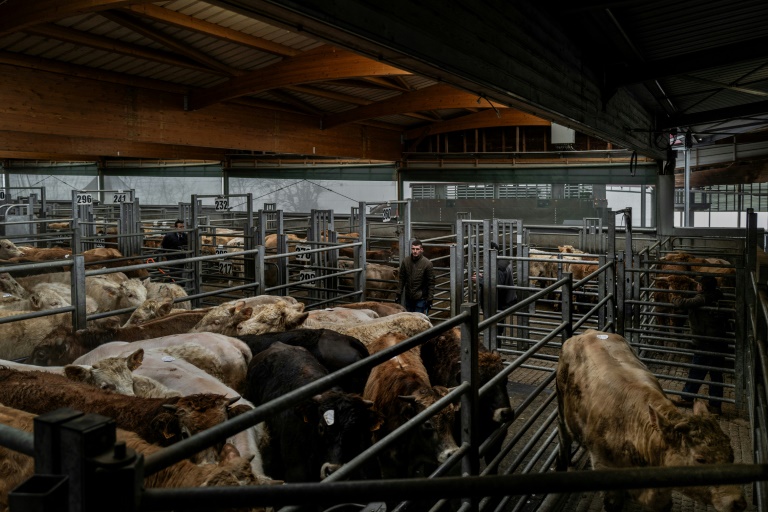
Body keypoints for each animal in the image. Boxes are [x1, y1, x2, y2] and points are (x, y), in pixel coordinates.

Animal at [556, 330, 748, 510]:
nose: (738, 503)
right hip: (562, 407)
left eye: (732, 455)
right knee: (563, 436)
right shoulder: (604, 468)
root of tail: (589, 332)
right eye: (700, 459)